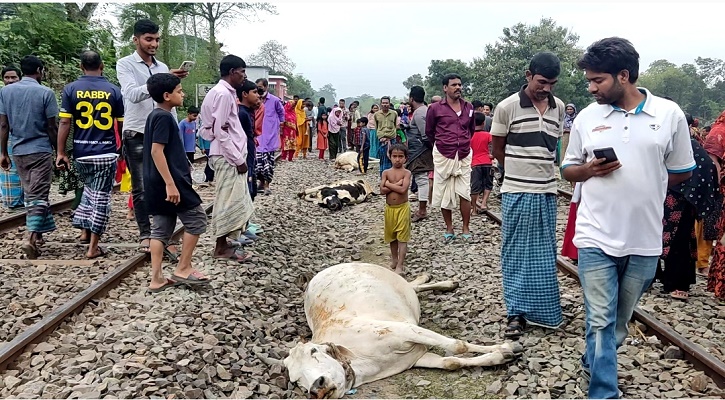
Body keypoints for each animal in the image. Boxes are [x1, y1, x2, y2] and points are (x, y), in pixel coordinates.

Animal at [282, 264, 520, 398]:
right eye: (295, 380)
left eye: (314, 351)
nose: (317, 387)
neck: (364, 361)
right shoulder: (415, 358)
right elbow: (451, 362)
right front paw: (500, 356)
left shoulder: (403, 329)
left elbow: (457, 345)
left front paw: (506, 346)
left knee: (412, 285)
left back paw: (438, 280)